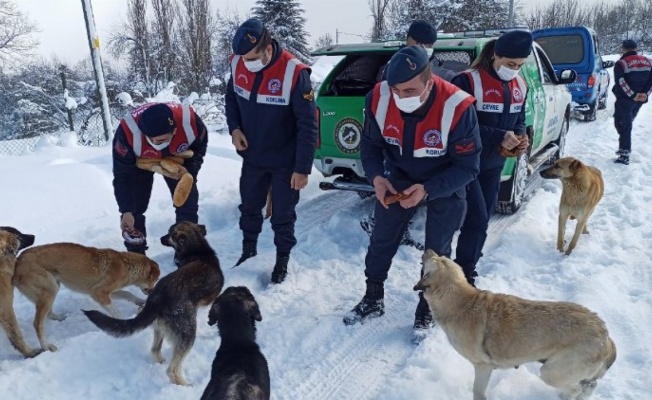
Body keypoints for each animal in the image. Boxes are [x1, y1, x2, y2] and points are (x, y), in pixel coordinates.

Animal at [14, 242, 159, 352]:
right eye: (155, 279)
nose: (153, 291)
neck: (127, 265)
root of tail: (17, 265)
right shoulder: (99, 293)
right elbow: (116, 311)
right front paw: (122, 322)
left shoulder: (103, 292)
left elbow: (127, 294)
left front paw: (140, 301)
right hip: (50, 289)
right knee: (37, 323)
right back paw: (46, 345)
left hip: (52, 287)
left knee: (47, 313)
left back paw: (58, 317)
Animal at [418, 250, 616, 400]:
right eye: (442, 257)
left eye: (433, 260)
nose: (427, 249)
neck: (460, 301)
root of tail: (605, 337)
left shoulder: (483, 367)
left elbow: (477, 393)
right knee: (587, 386)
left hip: (551, 373)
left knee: (576, 389)